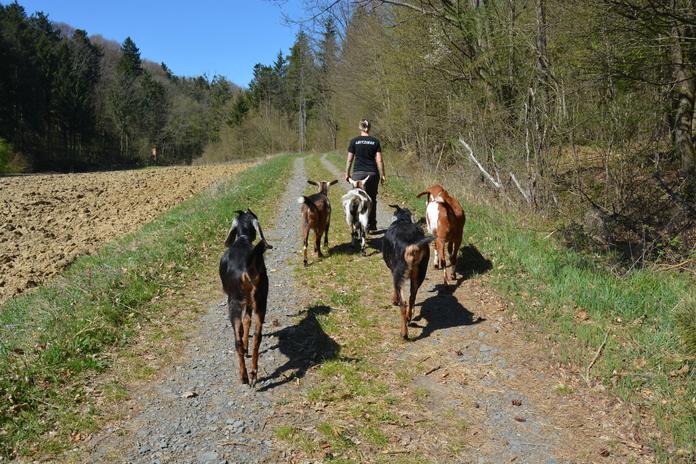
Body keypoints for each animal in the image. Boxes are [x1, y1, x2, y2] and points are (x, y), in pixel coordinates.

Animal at [219, 209, 272, 386]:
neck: (241, 240)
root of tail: (247, 270)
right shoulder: (251, 302)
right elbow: (248, 321)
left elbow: (244, 324)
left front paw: (245, 347)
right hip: (261, 301)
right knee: (257, 336)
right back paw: (254, 372)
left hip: (234, 303)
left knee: (237, 339)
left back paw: (244, 376)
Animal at [382, 205, 435, 339]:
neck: (402, 220)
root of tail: (412, 246)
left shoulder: (393, 271)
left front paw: (394, 300)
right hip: (420, 274)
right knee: (412, 297)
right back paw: (409, 317)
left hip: (399, 274)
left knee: (403, 303)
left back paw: (404, 332)